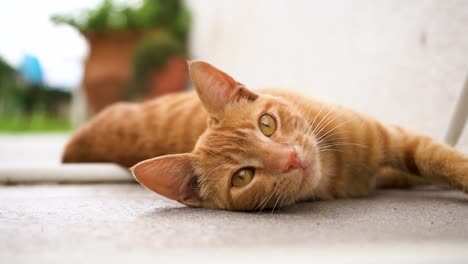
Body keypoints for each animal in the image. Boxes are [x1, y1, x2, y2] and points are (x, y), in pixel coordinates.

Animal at [64, 59, 468, 210]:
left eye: (267, 124)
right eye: (243, 176)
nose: (291, 159)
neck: (339, 171)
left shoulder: (394, 137)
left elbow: (438, 157)